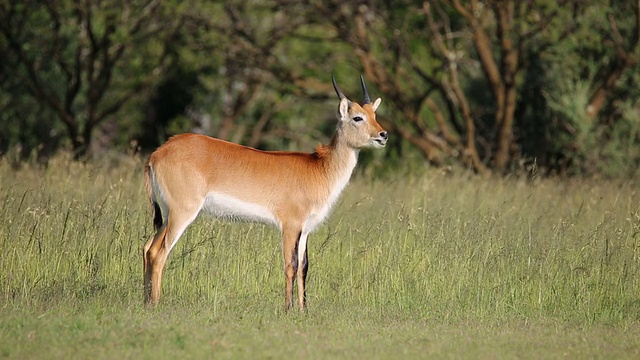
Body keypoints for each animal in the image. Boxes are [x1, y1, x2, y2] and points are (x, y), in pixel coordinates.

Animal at [142, 75, 388, 310]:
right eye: (357, 117)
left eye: (374, 113)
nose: (383, 134)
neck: (319, 168)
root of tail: (157, 153)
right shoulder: (290, 226)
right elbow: (290, 265)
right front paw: (288, 309)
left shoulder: (305, 229)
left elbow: (304, 267)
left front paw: (303, 310)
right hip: (182, 213)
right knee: (160, 253)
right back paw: (156, 303)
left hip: (168, 215)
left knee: (148, 248)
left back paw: (145, 300)